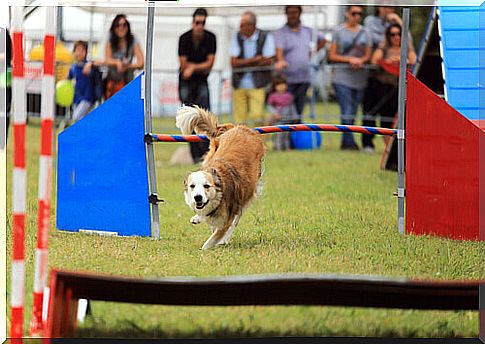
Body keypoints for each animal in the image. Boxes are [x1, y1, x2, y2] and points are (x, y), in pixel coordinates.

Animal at [175, 105, 264, 250]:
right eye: (192, 186)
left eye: (206, 186)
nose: (197, 198)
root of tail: (239, 127)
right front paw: (198, 217)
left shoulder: (227, 217)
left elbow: (214, 237)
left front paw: (206, 248)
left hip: (248, 191)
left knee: (236, 219)